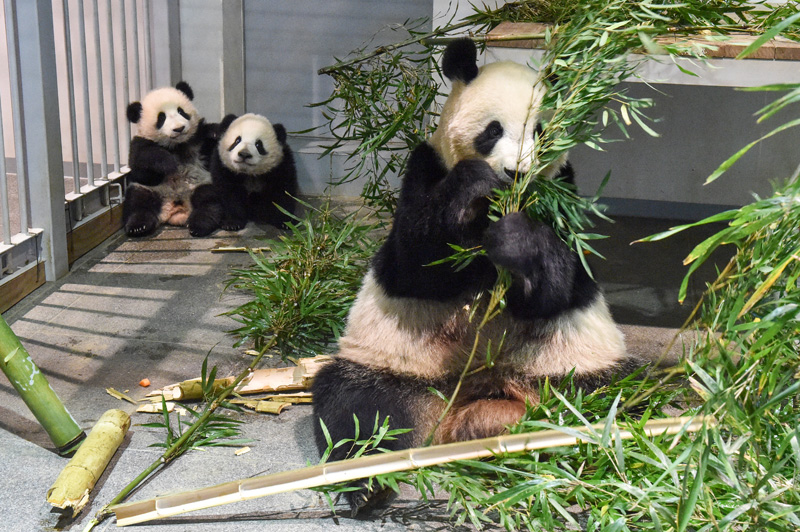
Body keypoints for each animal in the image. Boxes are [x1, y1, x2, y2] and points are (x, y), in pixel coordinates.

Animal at [122, 81, 217, 237]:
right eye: (161, 118)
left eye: (181, 112)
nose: (179, 128)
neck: (176, 146)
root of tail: (176, 210)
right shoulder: (140, 143)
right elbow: (141, 167)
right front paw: (168, 163)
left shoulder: (197, 139)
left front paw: (214, 132)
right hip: (150, 190)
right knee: (138, 203)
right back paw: (138, 226)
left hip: (202, 184)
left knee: (208, 201)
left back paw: (199, 224)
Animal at [310, 39, 636, 512]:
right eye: (493, 131)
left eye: (540, 132)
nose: (516, 172)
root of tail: (458, 414)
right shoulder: (425, 167)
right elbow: (415, 263)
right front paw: (472, 189)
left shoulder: (565, 194)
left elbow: (559, 285)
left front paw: (516, 241)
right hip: (398, 366)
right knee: (358, 409)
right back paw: (368, 485)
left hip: (566, 371)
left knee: (608, 402)